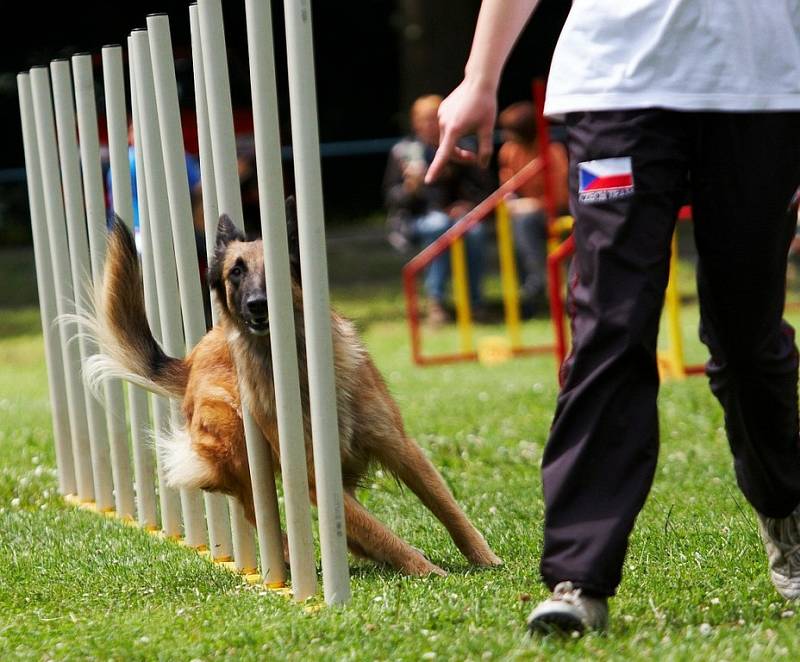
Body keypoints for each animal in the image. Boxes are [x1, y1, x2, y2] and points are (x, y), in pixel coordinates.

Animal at [87, 210, 500, 580]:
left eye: (277, 266)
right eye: (236, 271)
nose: (257, 304)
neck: (300, 366)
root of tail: (192, 357)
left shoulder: (398, 446)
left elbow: (446, 506)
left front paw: (485, 559)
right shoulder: (316, 477)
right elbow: (377, 530)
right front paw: (425, 569)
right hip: (233, 429)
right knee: (250, 505)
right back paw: (285, 556)